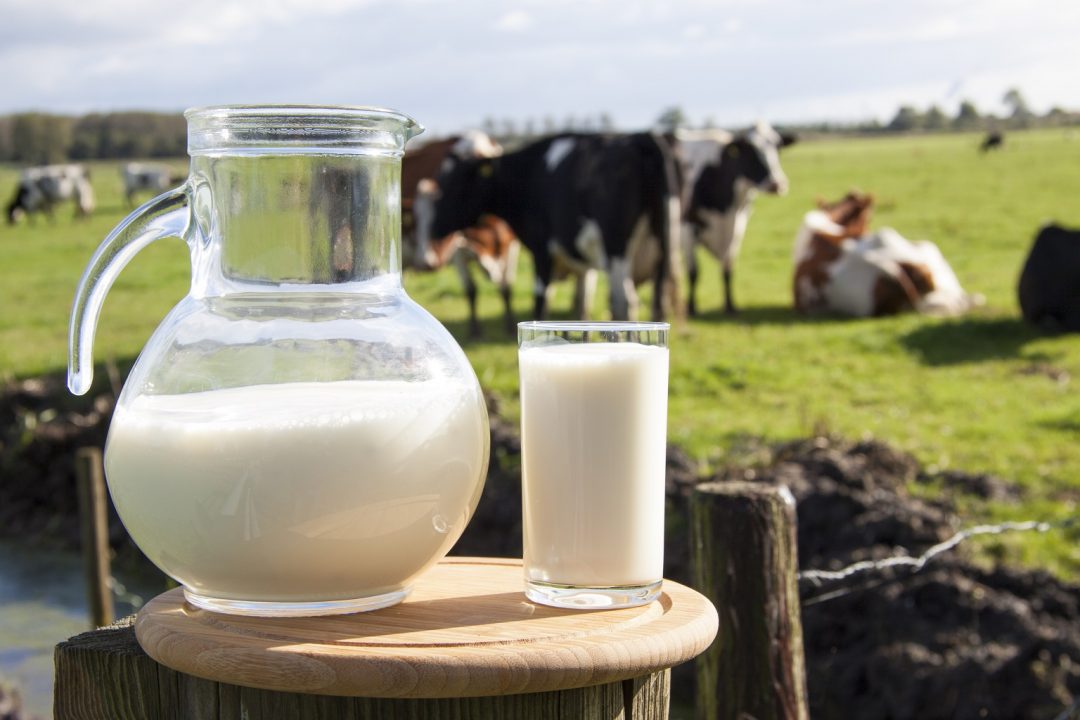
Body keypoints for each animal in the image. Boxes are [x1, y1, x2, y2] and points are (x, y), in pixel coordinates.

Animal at [419, 131, 678, 321]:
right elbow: (582, 307)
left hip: (616, 245)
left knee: (624, 302)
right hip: (662, 245)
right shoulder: (582, 262)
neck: (526, 174)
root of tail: (640, 137)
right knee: (656, 304)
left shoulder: (542, 248)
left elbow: (541, 300)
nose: (435, 229)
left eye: (455, 183)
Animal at [678, 122, 799, 313]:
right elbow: (694, 273)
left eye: (778, 147)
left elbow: (728, 269)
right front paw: (692, 308)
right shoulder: (687, 229)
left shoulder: (736, 229)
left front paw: (730, 306)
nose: (777, 184)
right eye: (750, 150)